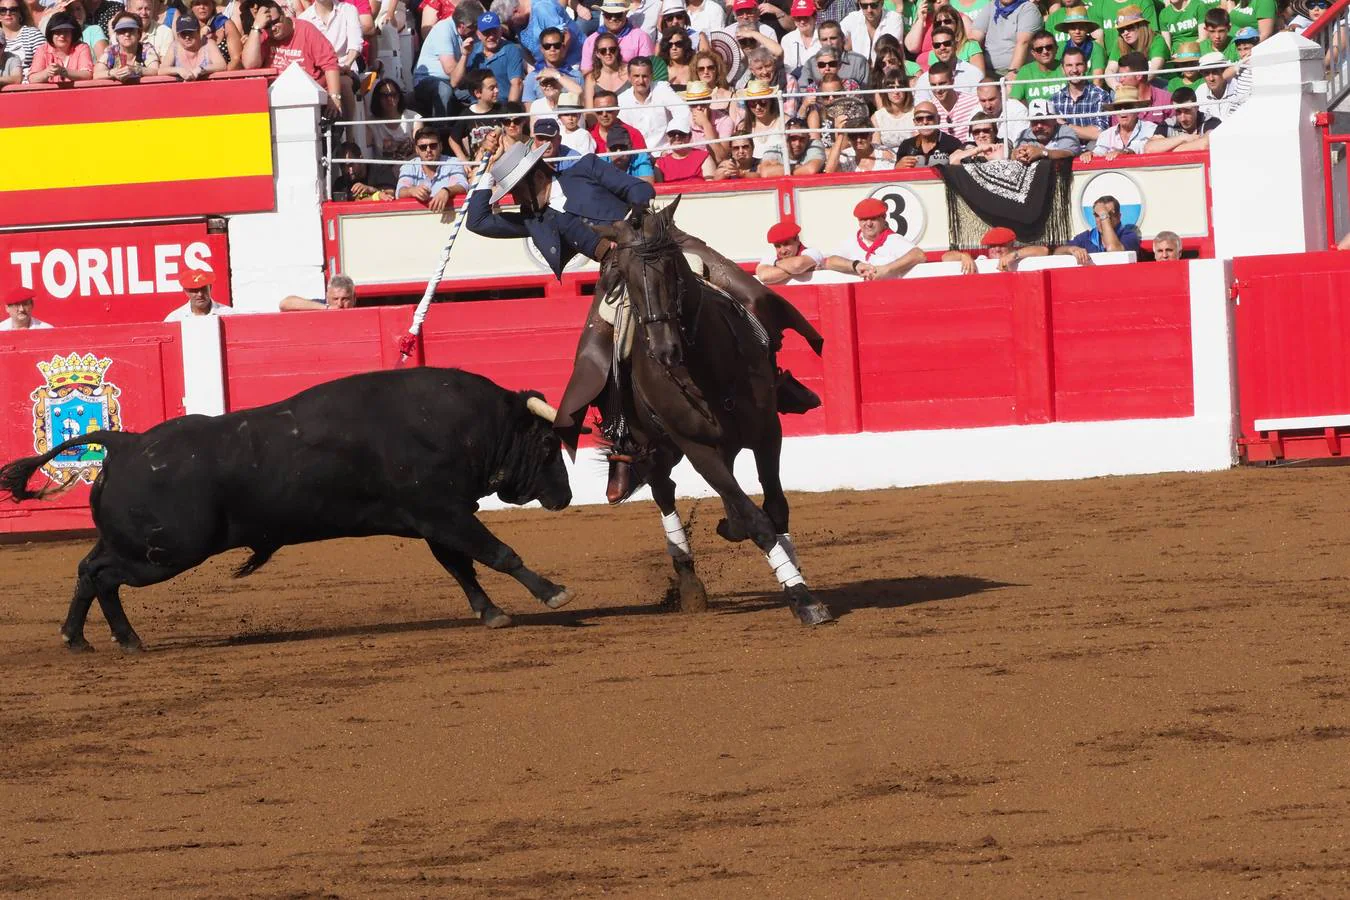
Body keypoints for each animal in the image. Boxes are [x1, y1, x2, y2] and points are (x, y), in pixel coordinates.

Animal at [0, 369, 575, 650]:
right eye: (550, 445)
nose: (565, 497)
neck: (460, 423)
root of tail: (126, 442)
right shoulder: (444, 513)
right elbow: (497, 553)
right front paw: (552, 593)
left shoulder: (436, 519)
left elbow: (461, 567)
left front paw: (491, 612)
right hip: (163, 553)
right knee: (102, 574)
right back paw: (123, 639)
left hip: (137, 546)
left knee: (88, 569)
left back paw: (84, 639)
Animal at [594, 198, 831, 626]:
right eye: (625, 278)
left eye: (672, 268)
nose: (664, 349)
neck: (706, 367)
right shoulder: (698, 449)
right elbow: (757, 520)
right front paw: (802, 598)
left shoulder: (767, 433)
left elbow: (775, 508)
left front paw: (794, 575)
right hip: (655, 446)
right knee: (664, 490)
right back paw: (688, 582)